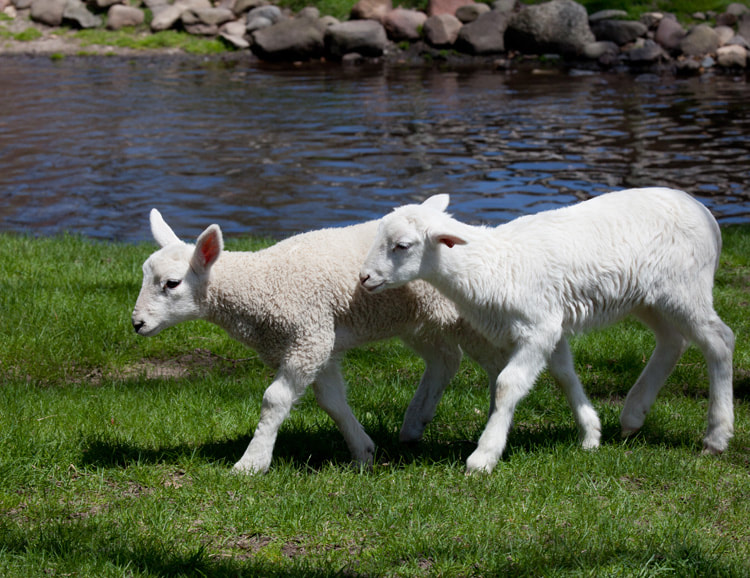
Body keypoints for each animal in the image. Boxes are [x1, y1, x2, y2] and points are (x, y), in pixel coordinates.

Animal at [135, 209, 528, 470]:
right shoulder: (316, 341)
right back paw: (415, 423)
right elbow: (332, 401)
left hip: (466, 317)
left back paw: (491, 433)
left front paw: (252, 462)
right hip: (419, 319)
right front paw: (363, 452)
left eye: (172, 283)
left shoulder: (308, 336)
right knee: (445, 359)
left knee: (496, 366)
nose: (137, 323)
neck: (260, 283)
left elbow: (274, 399)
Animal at [362, 189, 736, 472]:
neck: (491, 266)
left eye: (402, 245)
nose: (364, 278)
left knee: (719, 340)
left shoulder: (538, 327)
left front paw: (484, 456)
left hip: (685, 286)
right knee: (673, 341)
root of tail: (706, 214)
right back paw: (633, 416)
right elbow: (564, 375)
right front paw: (591, 434)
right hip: (649, 296)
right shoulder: (551, 323)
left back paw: (716, 436)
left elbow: (507, 385)